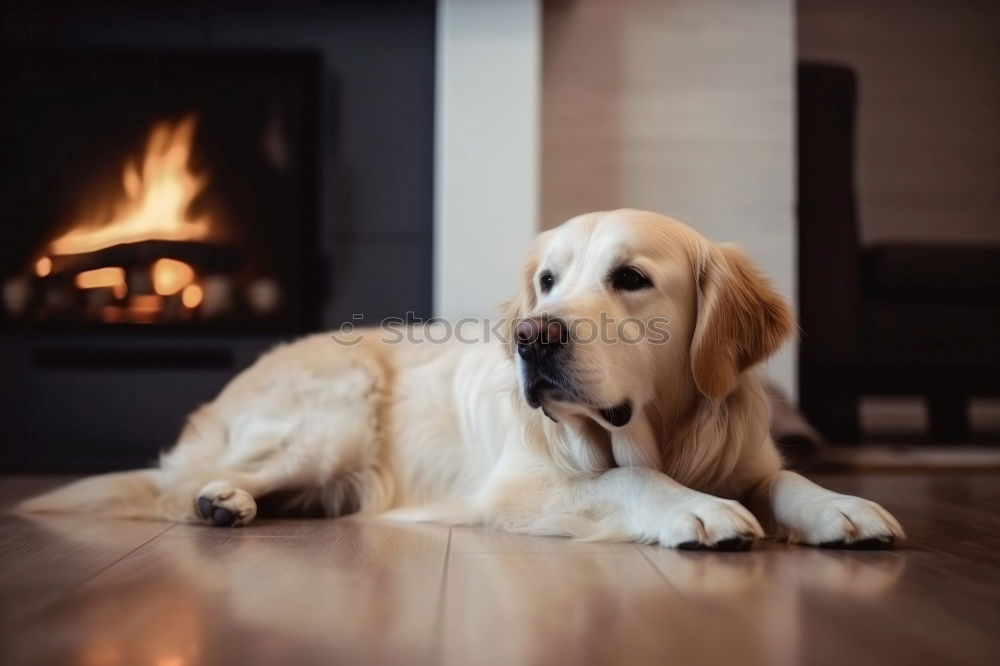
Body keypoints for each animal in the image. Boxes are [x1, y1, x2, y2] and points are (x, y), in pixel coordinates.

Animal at [17, 209, 908, 548]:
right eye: (548, 281)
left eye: (631, 279)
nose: (533, 336)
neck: (662, 427)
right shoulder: (520, 486)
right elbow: (630, 482)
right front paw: (696, 508)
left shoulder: (747, 455)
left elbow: (786, 478)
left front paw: (842, 507)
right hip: (337, 412)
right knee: (185, 484)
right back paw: (219, 500)